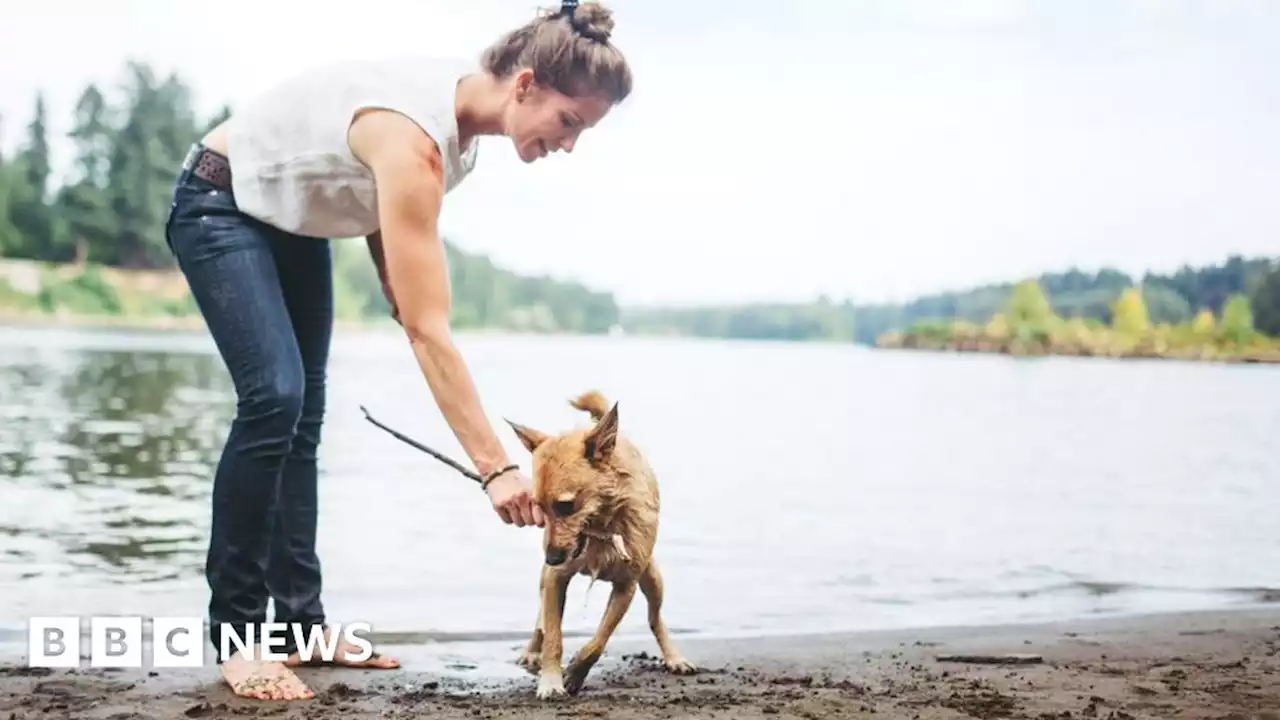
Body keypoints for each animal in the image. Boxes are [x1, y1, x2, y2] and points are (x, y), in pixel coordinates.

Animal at [501, 389, 701, 696]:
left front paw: (574, 673)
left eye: (565, 506)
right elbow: (553, 636)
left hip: (653, 580)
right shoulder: (555, 579)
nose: (551, 557)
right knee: (540, 621)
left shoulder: (626, 587)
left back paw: (673, 657)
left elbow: (598, 641)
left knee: (655, 619)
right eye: (538, 507)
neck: (599, 530)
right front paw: (551, 680)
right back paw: (531, 651)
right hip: (545, 581)